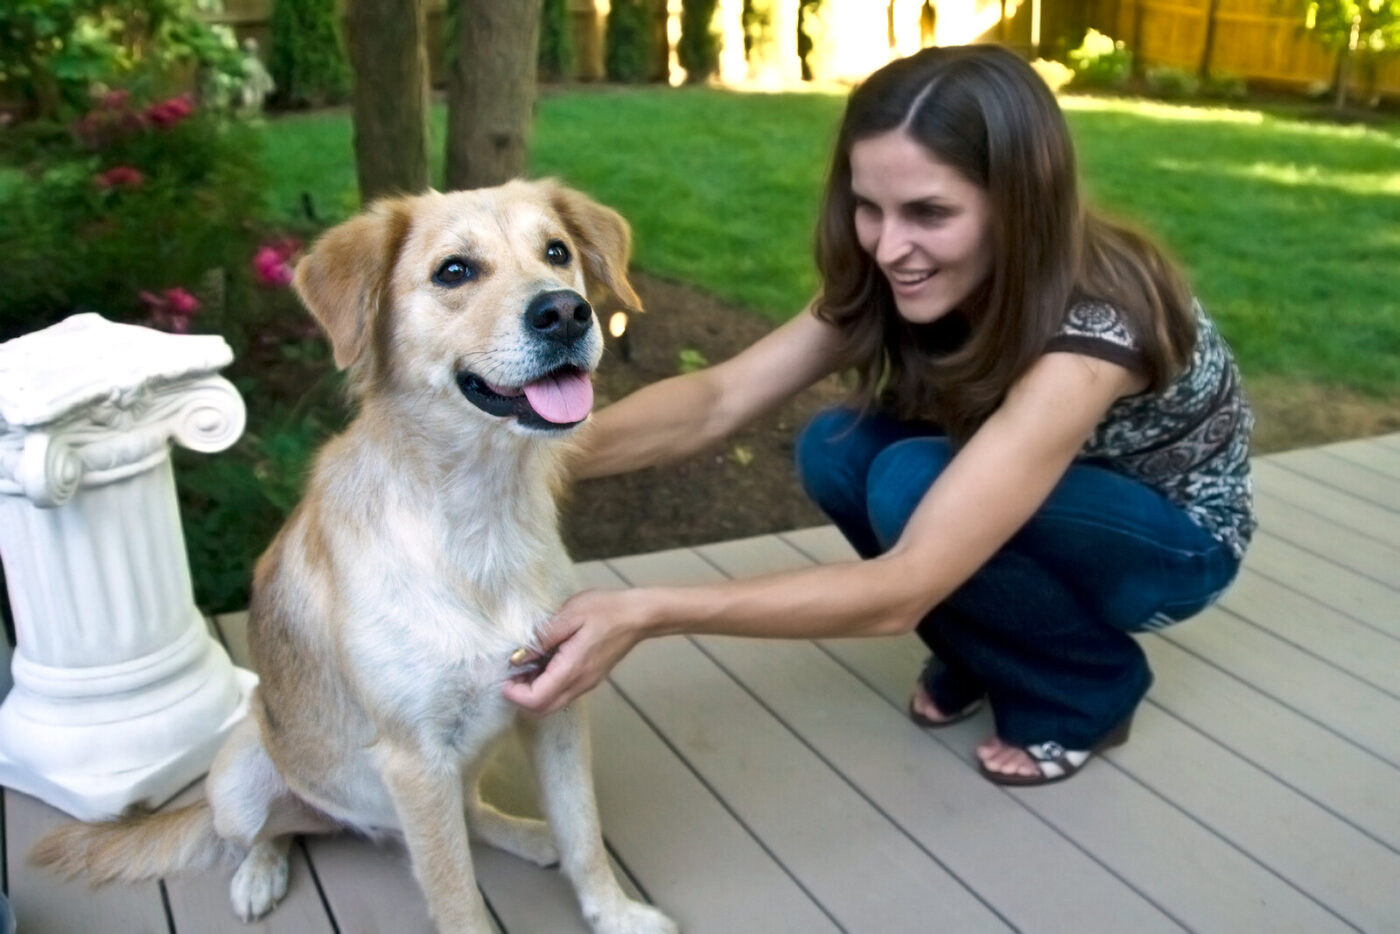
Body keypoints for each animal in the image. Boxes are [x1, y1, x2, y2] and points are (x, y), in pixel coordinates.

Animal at [35, 177, 680, 934]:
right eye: (454, 270)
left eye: (557, 252)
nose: (566, 312)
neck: (478, 514)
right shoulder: (415, 759)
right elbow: (457, 897)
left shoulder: (554, 703)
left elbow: (583, 831)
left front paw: (616, 914)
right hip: (244, 774)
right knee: (268, 832)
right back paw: (259, 873)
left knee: (469, 814)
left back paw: (523, 833)